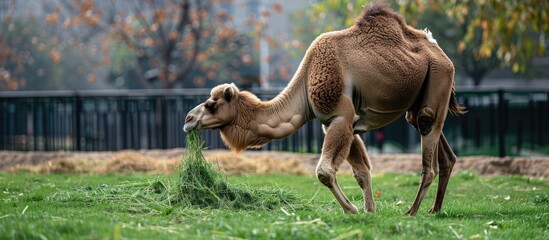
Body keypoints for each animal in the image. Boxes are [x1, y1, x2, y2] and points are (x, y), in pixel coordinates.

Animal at [183, 1, 462, 216]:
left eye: (211, 104)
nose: (187, 119)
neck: (306, 82)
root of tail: (440, 52)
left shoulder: (340, 115)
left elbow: (324, 172)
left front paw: (352, 209)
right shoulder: (338, 123)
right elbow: (362, 171)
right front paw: (370, 211)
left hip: (438, 78)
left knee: (428, 143)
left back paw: (412, 212)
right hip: (419, 99)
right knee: (441, 149)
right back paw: (435, 210)